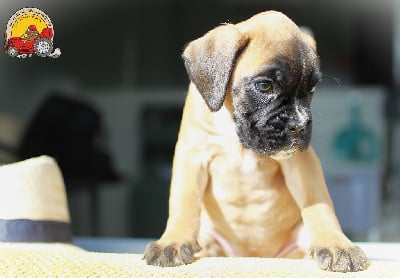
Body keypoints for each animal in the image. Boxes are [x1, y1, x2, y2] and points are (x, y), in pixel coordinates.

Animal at [143, 10, 368, 272]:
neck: (234, 129)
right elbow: (184, 201)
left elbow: (318, 203)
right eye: (264, 86)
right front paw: (173, 240)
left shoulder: (302, 163)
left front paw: (336, 244)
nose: (300, 125)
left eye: (311, 89)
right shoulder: (193, 155)